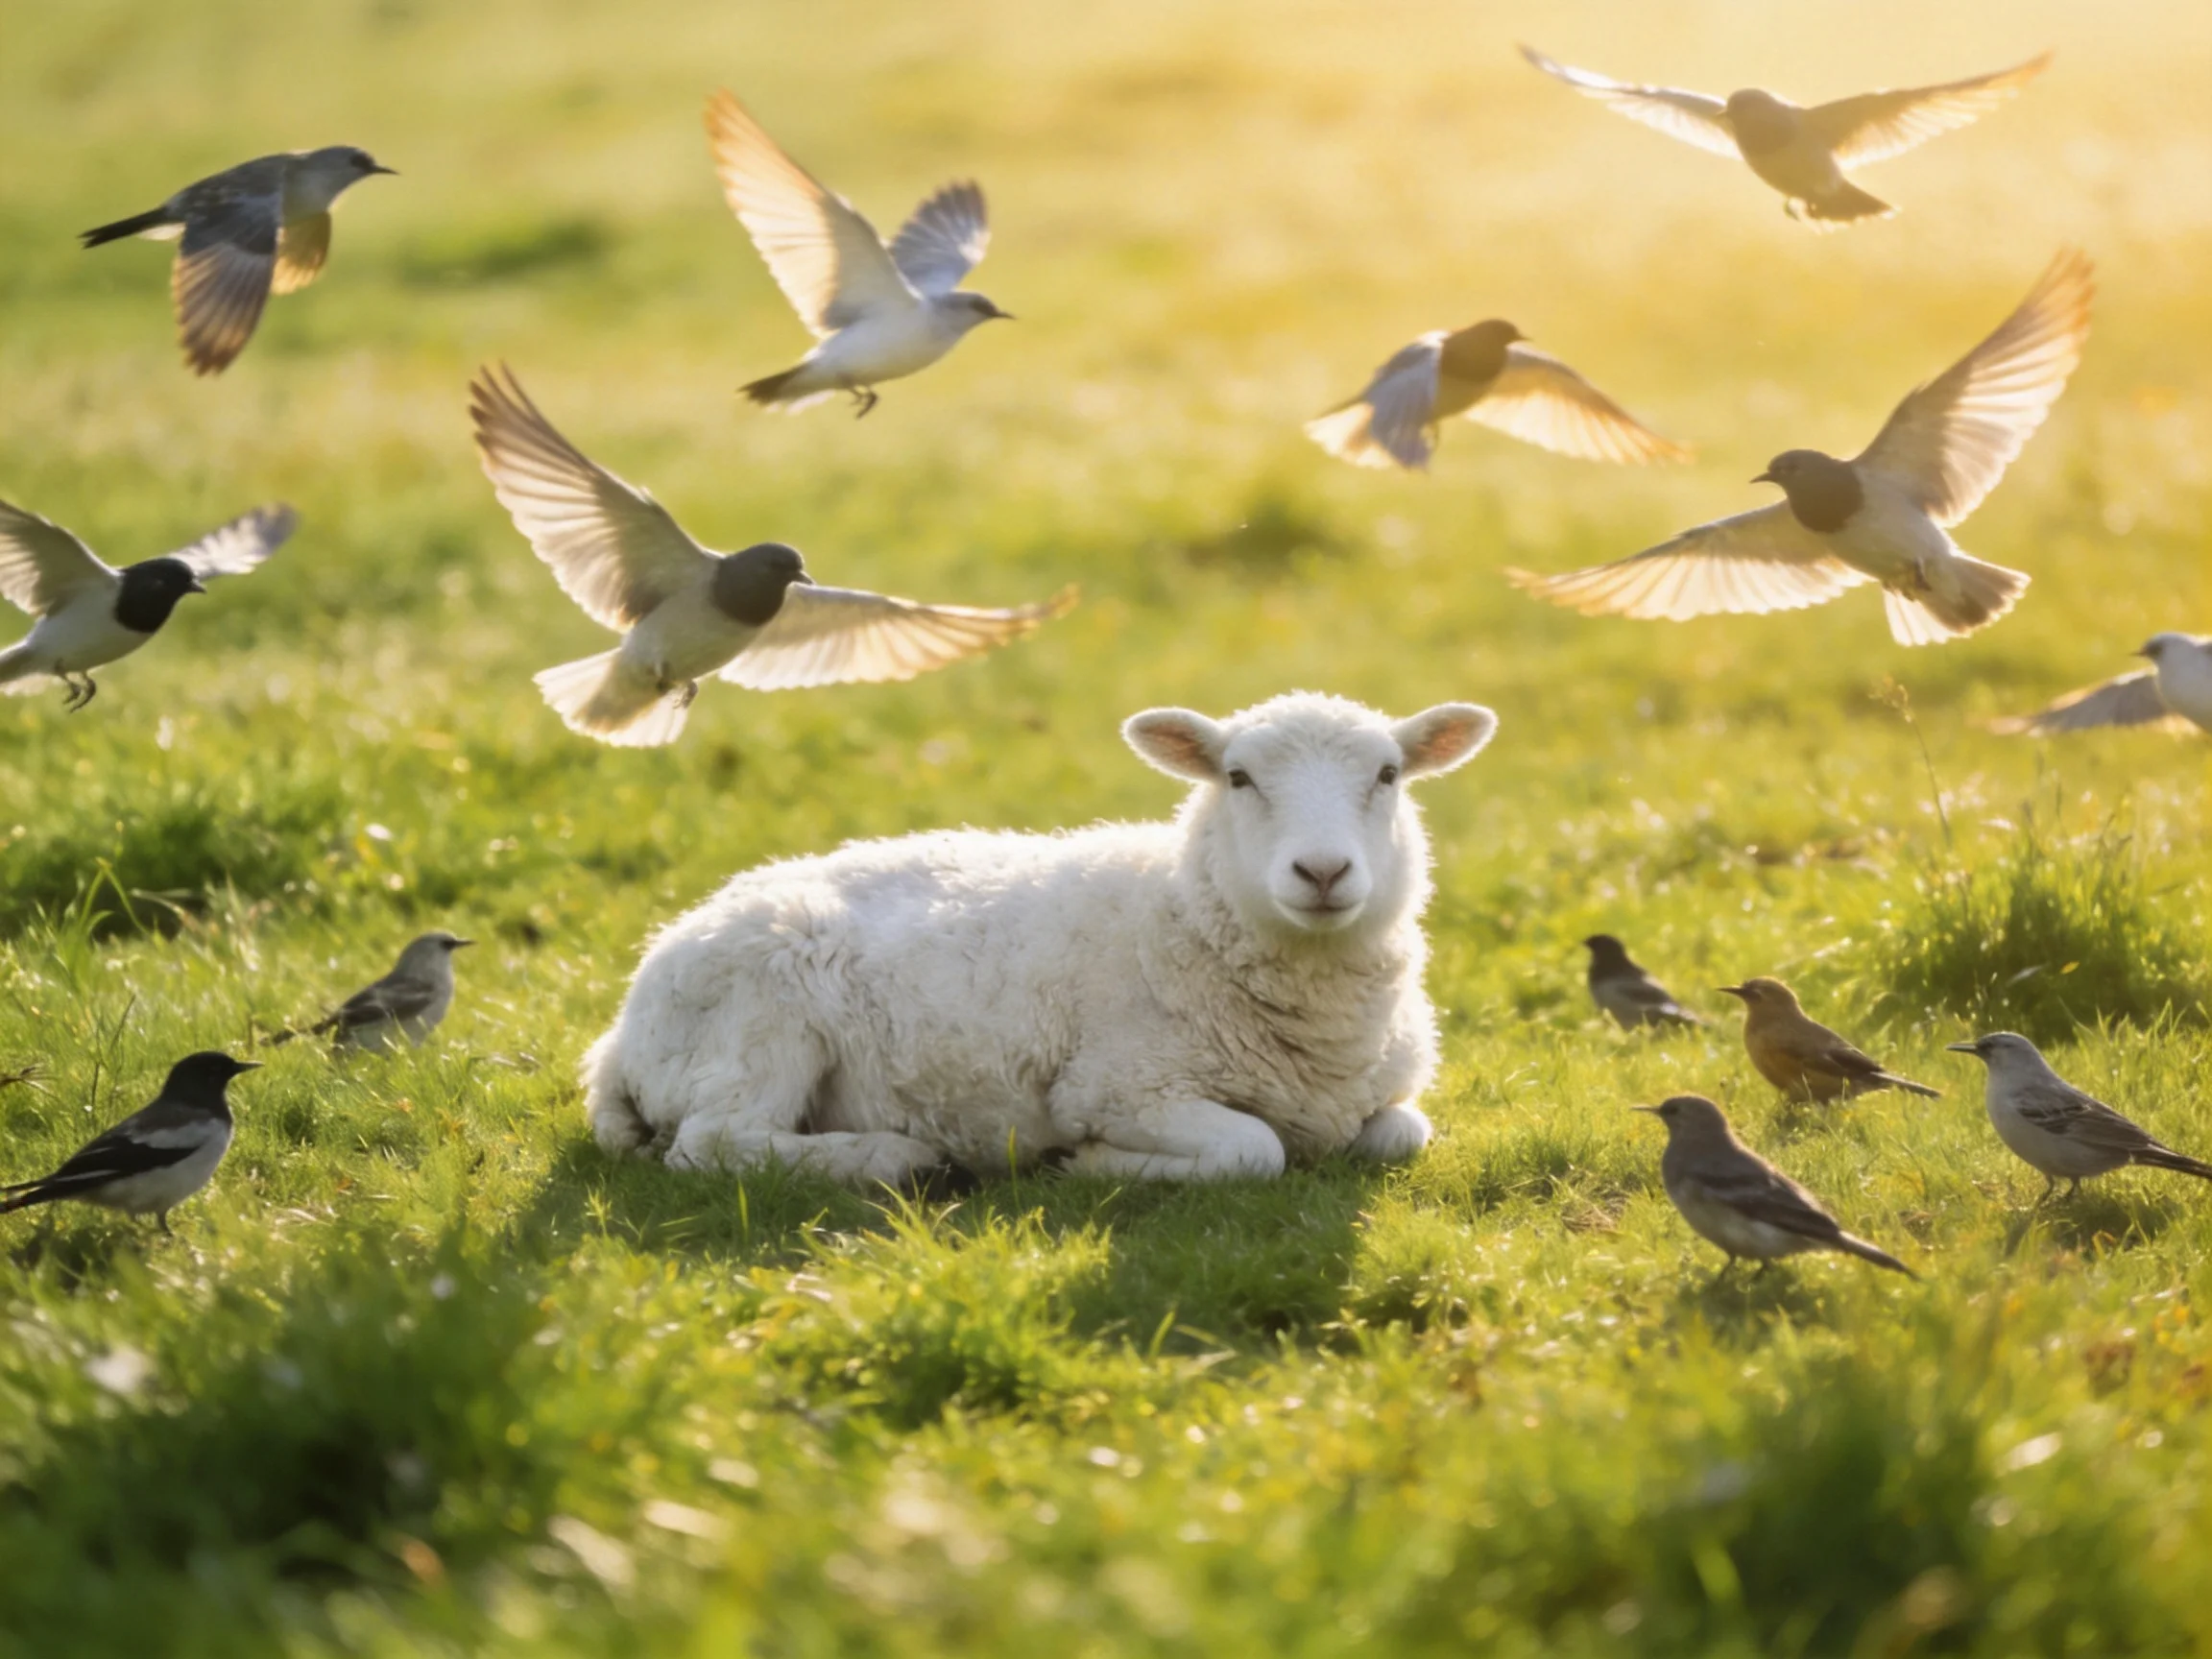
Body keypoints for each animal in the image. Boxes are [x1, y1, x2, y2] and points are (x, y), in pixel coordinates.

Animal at [583, 691, 1497, 1187]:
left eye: (1388, 775)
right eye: (1238, 778)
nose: (1323, 871)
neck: (1181, 915)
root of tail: (617, 1039)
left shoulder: (1381, 1099)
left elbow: (1399, 1135)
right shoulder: (1119, 1087)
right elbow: (1255, 1149)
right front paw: (1087, 1165)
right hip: (757, 1022)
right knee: (715, 1143)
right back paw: (898, 1156)